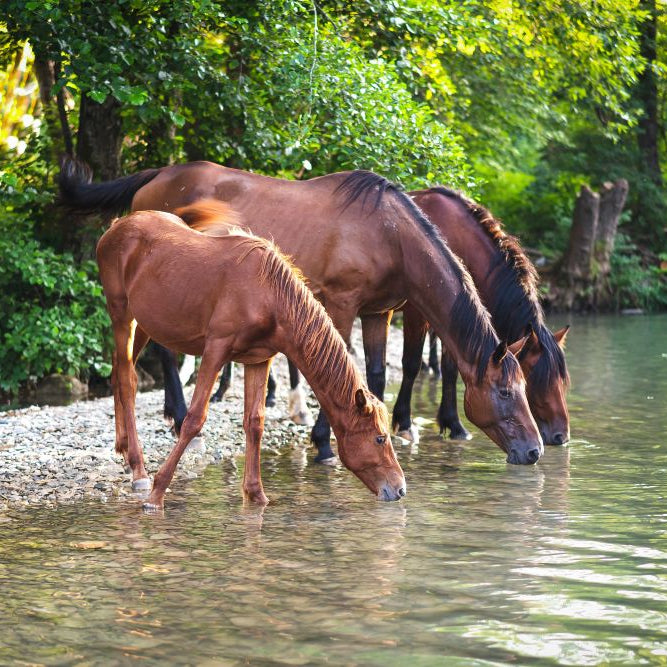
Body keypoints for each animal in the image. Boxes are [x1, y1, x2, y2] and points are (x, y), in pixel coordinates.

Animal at [62, 158, 544, 465]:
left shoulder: (378, 313)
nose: (537, 449)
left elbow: (374, 376)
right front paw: (323, 445)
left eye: (527, 386)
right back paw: (180, 417)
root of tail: (158, 175)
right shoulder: (342, 304)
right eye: (506, 392)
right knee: (160, 353)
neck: (389, 233)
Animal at [96, 203, 407, 510]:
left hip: (145, 324)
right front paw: (157, 493)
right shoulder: (215, 350)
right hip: (122, 315)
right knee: (127, 380)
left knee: (118, 372)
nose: (400, 488)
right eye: (380, 438)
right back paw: (138, 469)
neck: (269, 295)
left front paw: (256, 494)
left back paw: (123, 446)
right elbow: (194, 419)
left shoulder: (259, 360)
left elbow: (255, 422)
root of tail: (116, 226)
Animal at [391, 188, 570, 446]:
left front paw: (454, 424)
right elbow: (412, 363)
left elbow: (451, 369)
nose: (561, 436)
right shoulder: (417, 313)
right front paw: (405, 423)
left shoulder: (456, 316)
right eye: (536, 380)